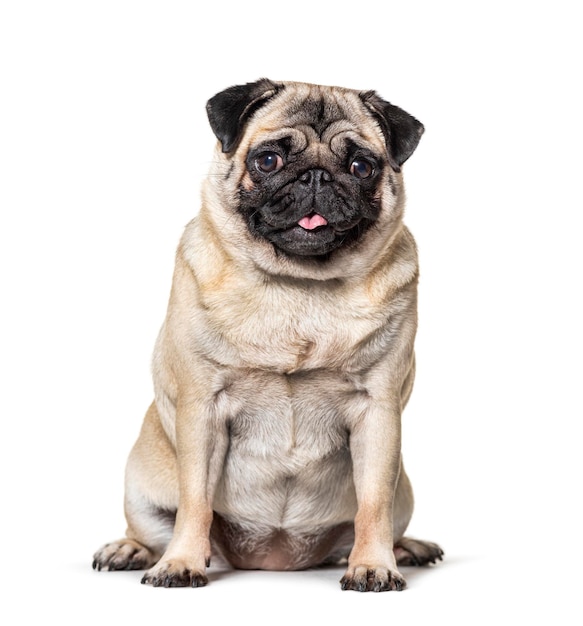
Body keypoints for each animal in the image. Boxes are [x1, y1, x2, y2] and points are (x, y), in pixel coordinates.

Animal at [93, 79, 444, 588]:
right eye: (269, 160)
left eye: (361, 167)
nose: (316, 177)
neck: (298, 285)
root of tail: (272, 557)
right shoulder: (203, 408)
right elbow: (195, 501)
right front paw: (180, 562)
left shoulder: (377, 412)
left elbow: (373, 504)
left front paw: (374, 564)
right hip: (142, 486)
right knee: (151, 524)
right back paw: (130, 549)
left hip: (405, 495)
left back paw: (405, 548)